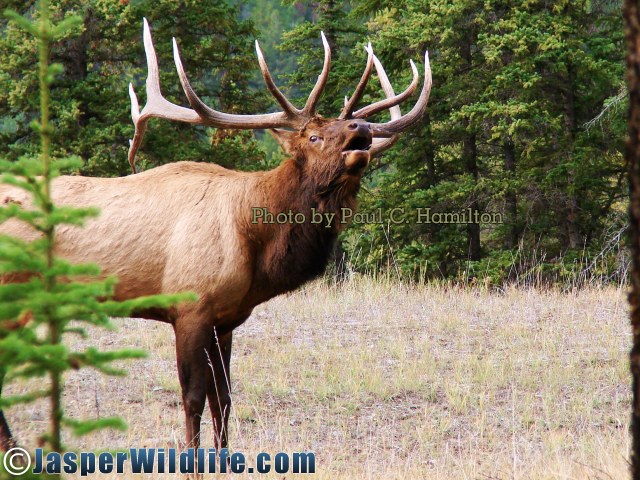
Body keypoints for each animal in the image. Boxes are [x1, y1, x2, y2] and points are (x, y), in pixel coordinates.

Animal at [0, 19, 431, 453]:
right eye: (313, 136)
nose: (362, 127)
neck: (253, 239)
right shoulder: (189, 306)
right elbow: (192, 399)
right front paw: (192, 460)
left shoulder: (225, 320)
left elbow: (222, 399)